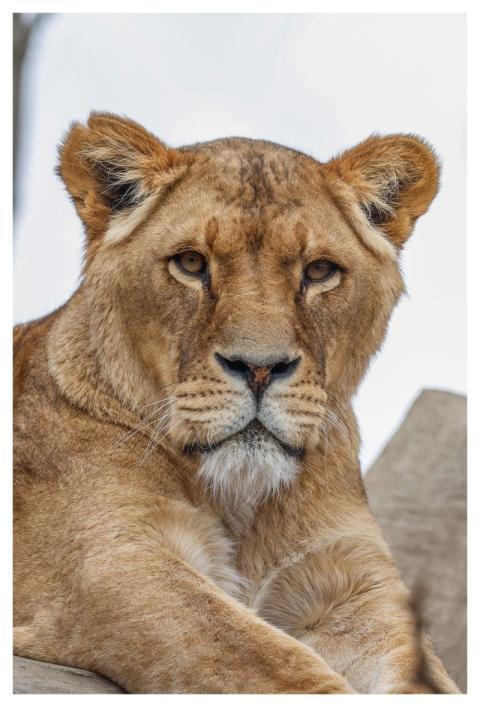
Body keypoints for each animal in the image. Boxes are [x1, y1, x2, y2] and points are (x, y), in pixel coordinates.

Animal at [13, 112, 459, 693]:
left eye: (319, 271)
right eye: (190, 263)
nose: (260, 368)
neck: (243, 506)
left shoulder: (360, 585)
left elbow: (421, 673)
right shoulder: (116, 560)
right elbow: (271, 662)